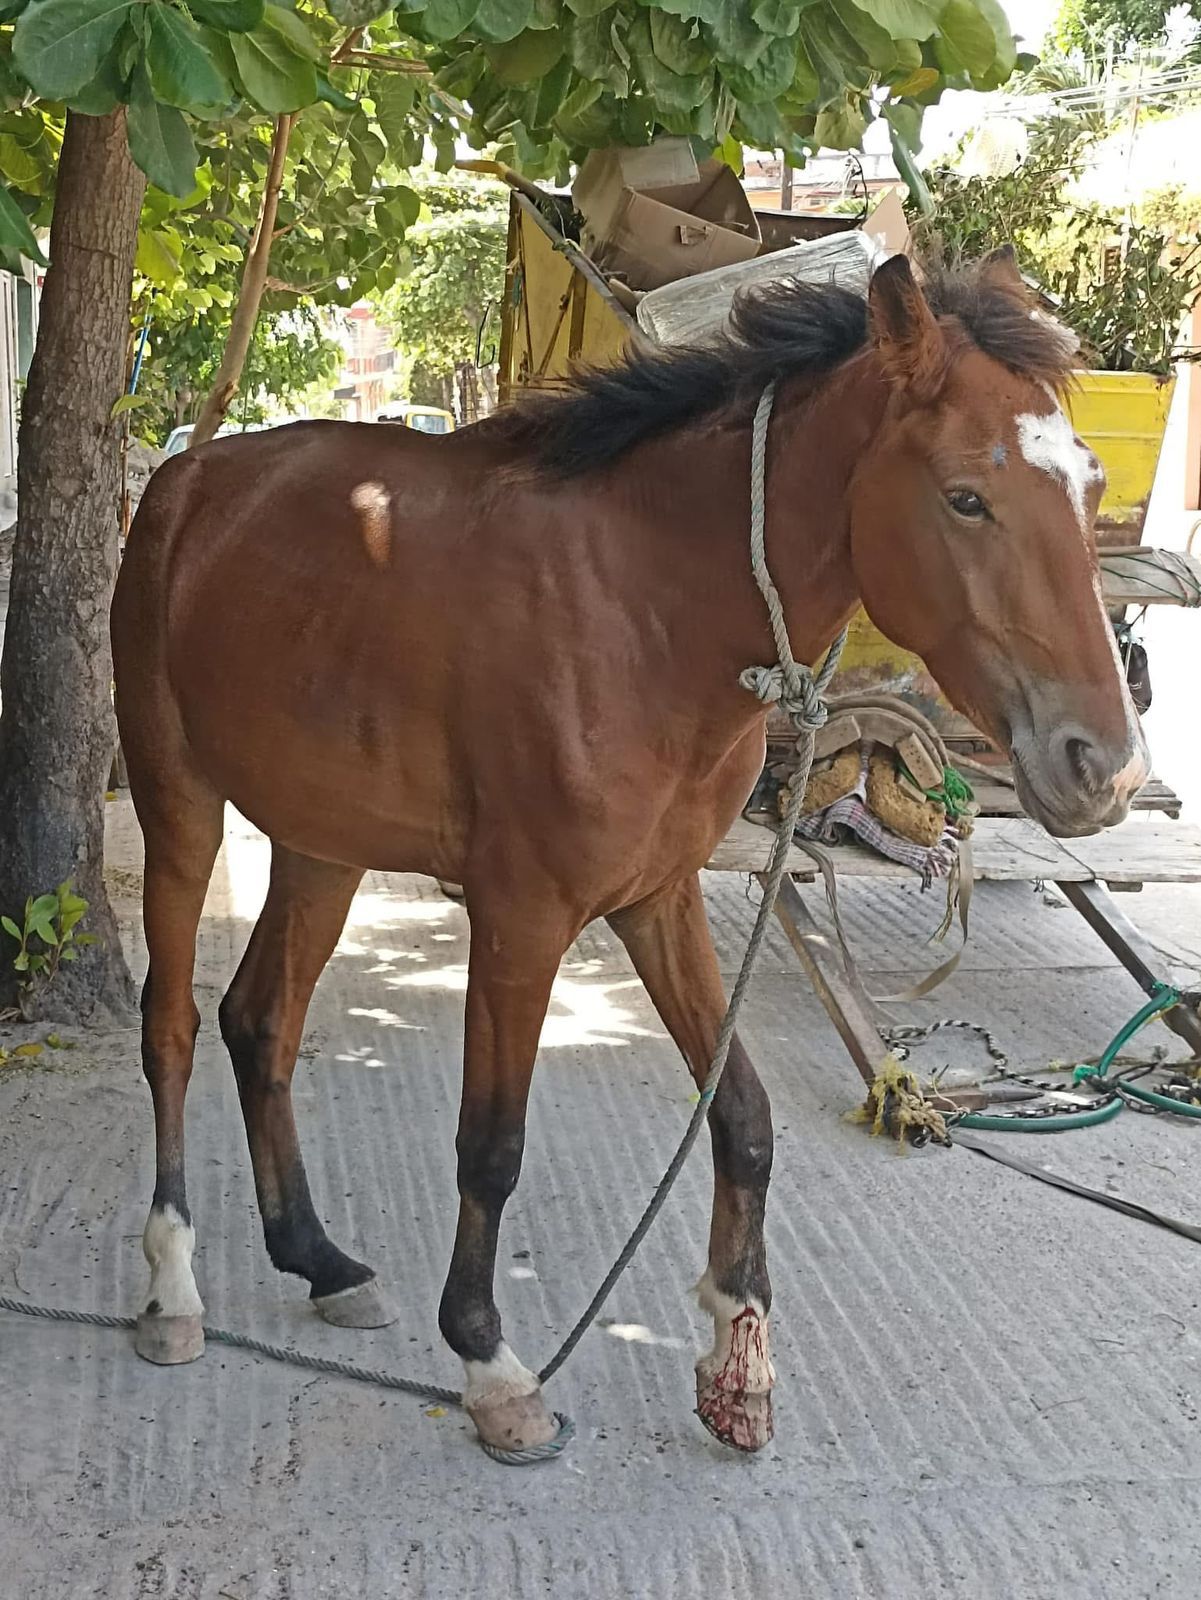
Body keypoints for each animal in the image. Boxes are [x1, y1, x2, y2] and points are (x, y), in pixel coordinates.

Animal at [110, 250, 1147, 1457]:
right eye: (965, 496)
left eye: (1087, 488)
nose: (1103, 766)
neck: (642, 613)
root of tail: (188, 480)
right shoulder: (521, 916)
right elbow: (491, 1144)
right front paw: (490, 1363)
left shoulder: (660, 899)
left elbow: (741, 1116)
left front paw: (737, 1354)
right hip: (183, 806)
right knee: (173, 1027)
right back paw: (171, 1288)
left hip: (322, 841)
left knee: (260, 1021)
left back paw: (318, 1260)